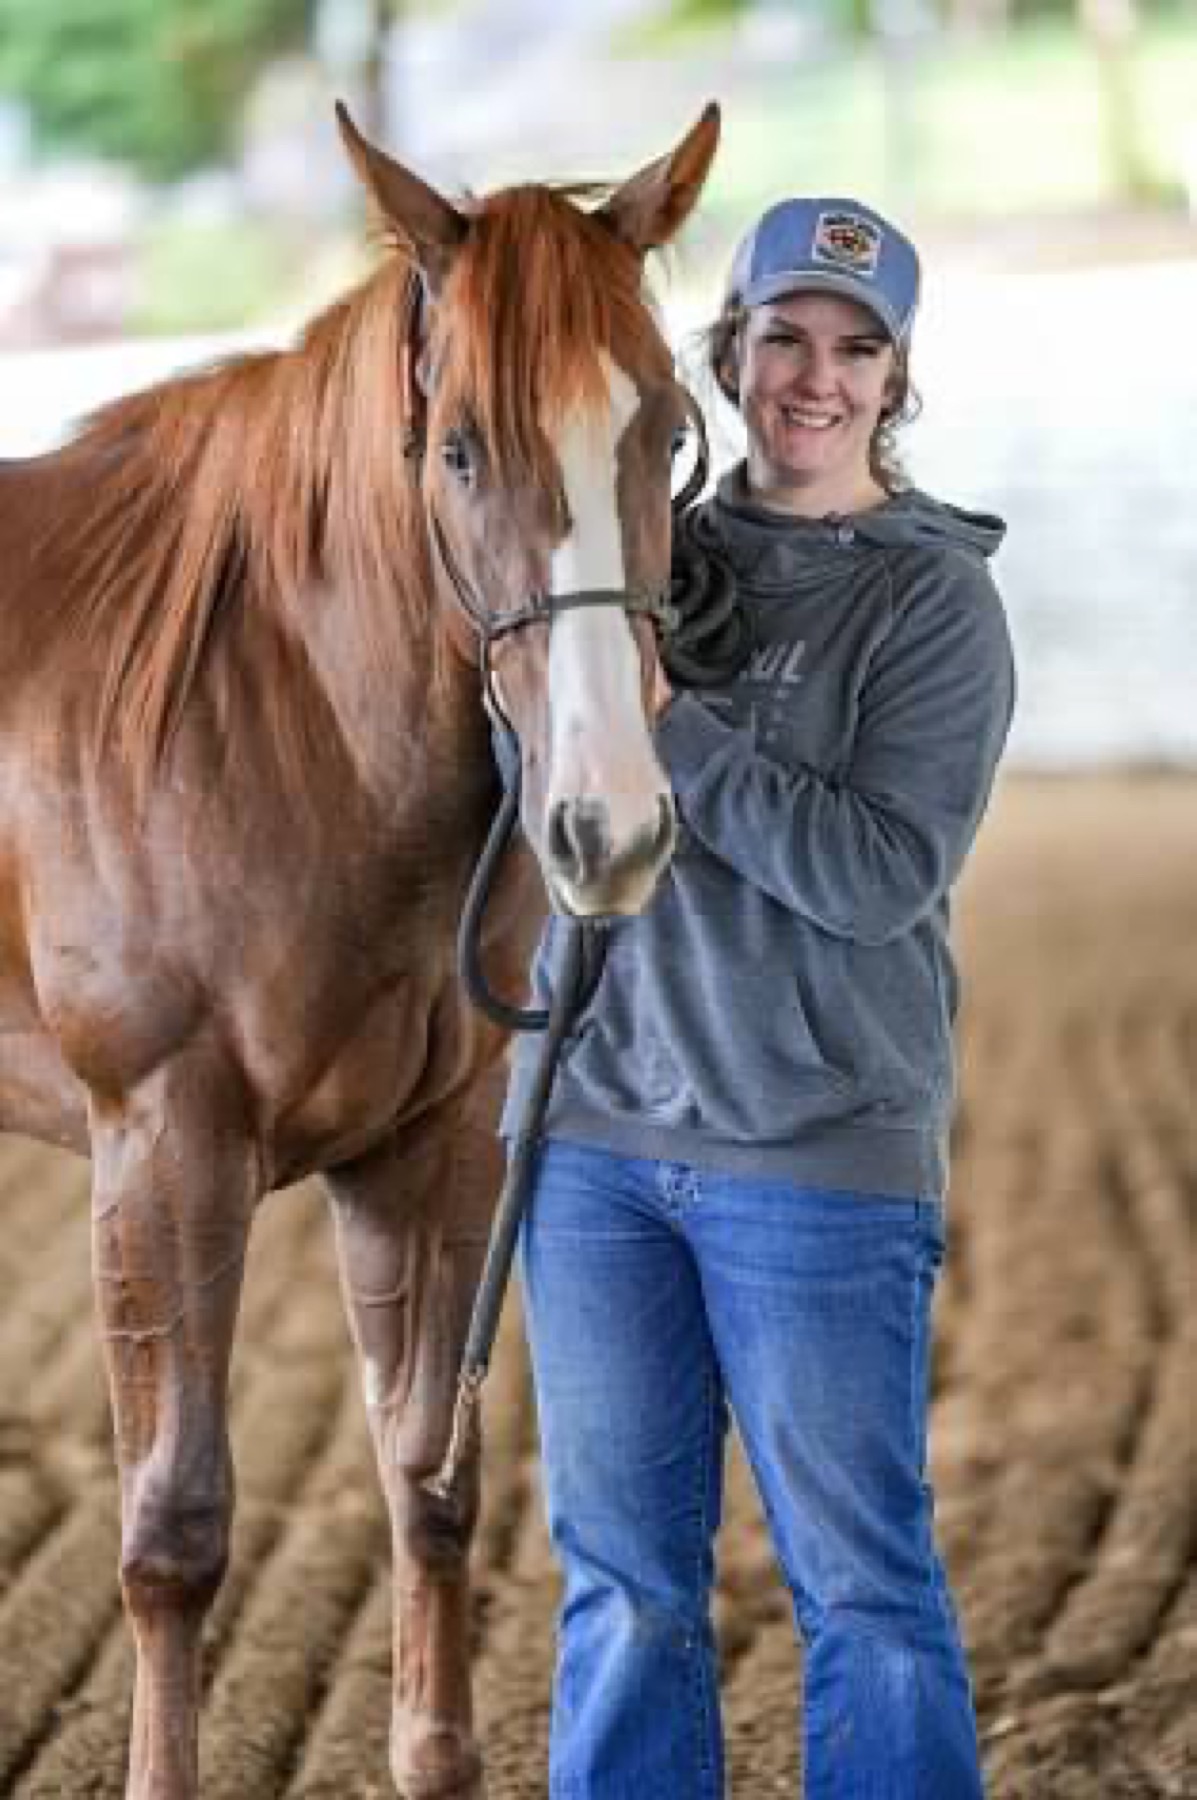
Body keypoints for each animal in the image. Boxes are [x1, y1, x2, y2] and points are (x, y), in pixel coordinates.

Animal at [0, 100, 720, 1799]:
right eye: (457, 445)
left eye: (665, 429)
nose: (608, 828)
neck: (265, 720)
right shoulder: (161, 1151)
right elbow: (175, 1531)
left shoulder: (428, 1152)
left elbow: (428, 1480)